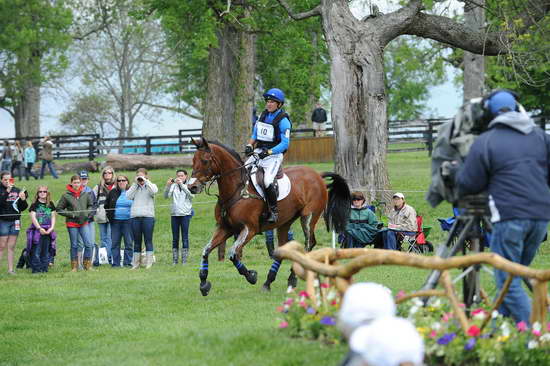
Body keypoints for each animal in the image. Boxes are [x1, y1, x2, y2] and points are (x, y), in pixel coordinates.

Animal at [188, 139, 352, 296]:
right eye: (193, 161)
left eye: (205, 161)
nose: (192, 187)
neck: (237, 189)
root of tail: (317, 174)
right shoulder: (225, 228)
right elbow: (206, 250)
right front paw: (203, 283)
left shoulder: (249, 229)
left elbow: (233, 254)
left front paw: (251, 276)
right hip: (285, 222)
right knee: (283, 249)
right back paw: (270, 281)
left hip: (308, 217)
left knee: (309, 243)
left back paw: (292, 277)